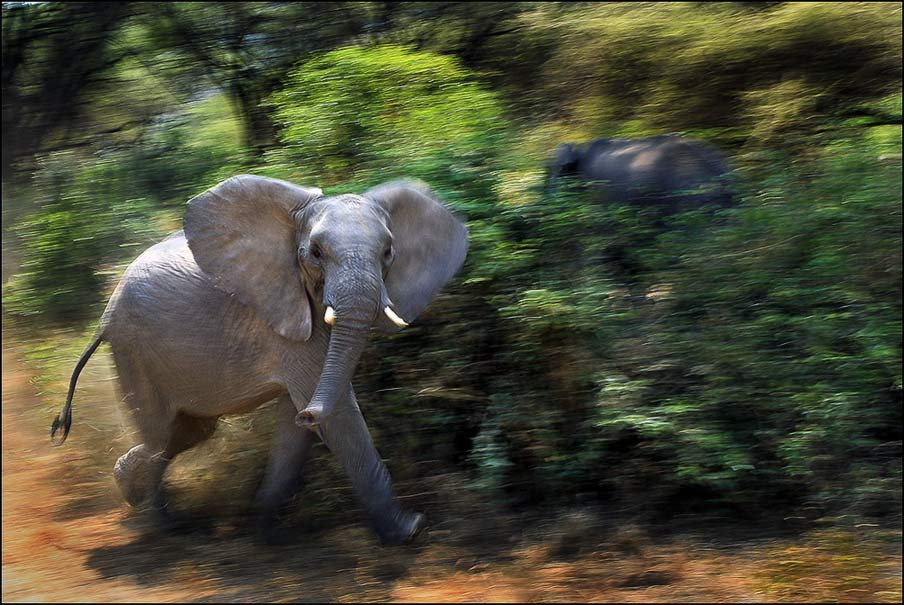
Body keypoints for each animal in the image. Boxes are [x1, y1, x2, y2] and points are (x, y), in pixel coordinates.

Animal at [50, 175, 468, 546]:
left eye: (387, 253)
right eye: (315, 253)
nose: (308, 414)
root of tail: (104, 316)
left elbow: (295, 429)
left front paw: (269, 534)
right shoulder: (288, 322)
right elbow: (340, 417)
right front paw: (410, 531)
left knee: (186, 432)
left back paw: (130, 491)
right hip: (133, 349)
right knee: (161, 434)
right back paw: (165, 529)